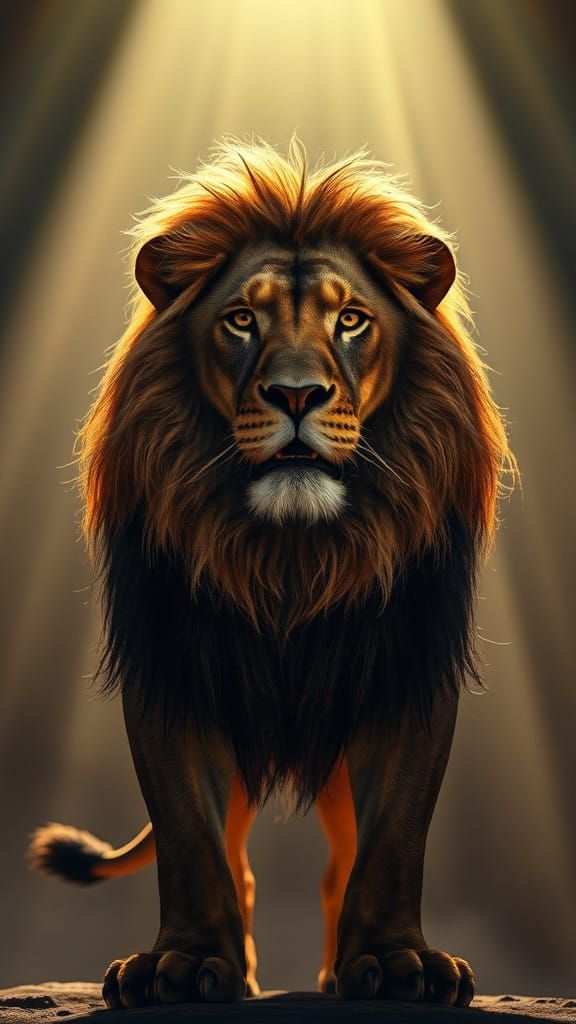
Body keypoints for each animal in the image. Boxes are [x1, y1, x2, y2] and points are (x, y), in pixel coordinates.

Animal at [30, 137, 513, 1007]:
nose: (295, 394)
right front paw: (184, 965)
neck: (291, 555)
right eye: (241, 319)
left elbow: (395, 836)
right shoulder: (175, 670)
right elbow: (190, 839)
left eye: (350, 318)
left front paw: (397, 963)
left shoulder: (407, 668)